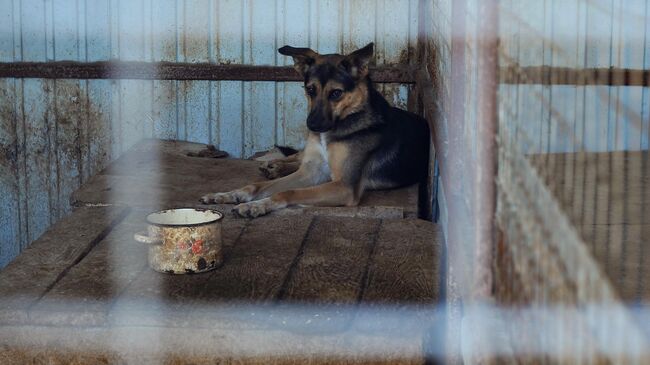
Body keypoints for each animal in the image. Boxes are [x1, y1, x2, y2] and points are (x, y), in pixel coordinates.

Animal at [200, 43, 428, 218]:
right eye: (310, 89)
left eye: (336, 93)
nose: (312, 126)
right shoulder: (312, 171)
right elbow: (257, 186)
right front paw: (230, 194)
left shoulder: (344, 186)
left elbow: (288, 193)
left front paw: (256, 205)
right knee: (297, 156)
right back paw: (274, 165)